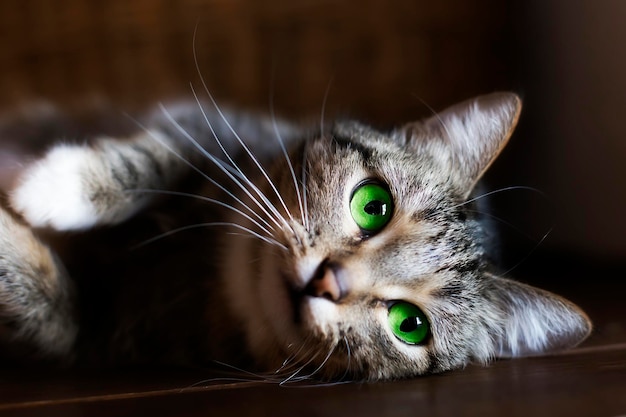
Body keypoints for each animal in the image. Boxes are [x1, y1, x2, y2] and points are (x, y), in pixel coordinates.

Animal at [0, 92, 588, 380]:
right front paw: (51, 187)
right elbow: (153, 157)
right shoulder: (205, 127)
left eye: (410, 324)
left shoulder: (94, 331)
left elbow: (43, 304)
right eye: (373, 206)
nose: (329, 281)